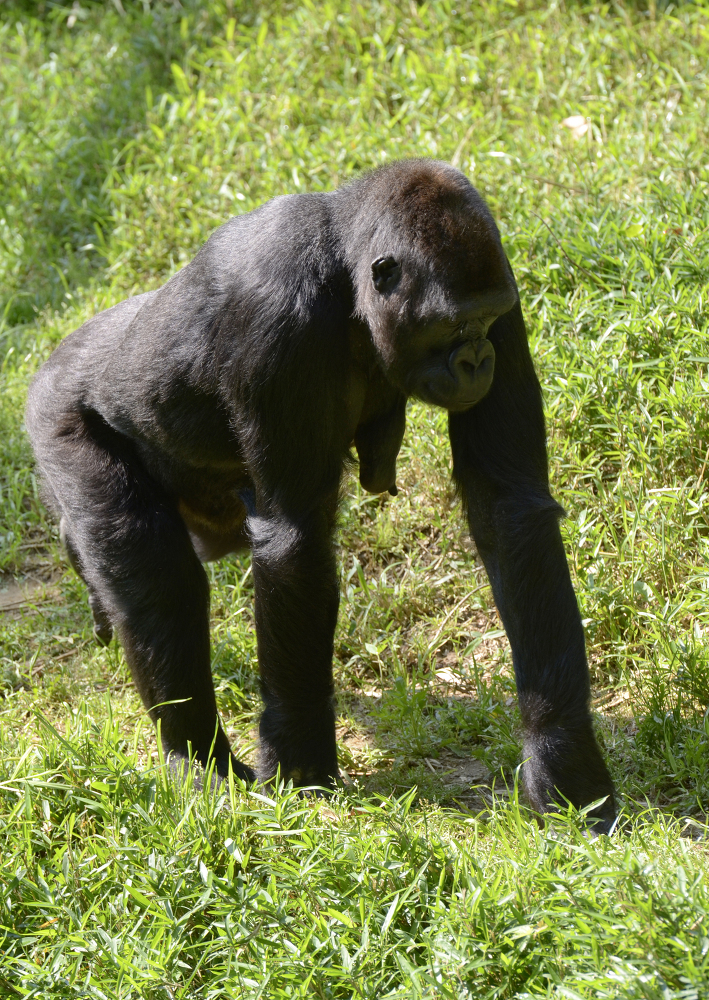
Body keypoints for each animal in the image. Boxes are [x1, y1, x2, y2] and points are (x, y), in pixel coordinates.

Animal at [26, 156, 612, 828]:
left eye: (487, 321)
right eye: (454, 326)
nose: (477, 361)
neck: (345, 266)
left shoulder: (502, 285)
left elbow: (509, 507)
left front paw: (564, 761)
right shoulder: (280, 319)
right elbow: (295, 541)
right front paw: (300, 760)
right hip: (55, 413)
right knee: (154, 571)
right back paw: (194, 757)